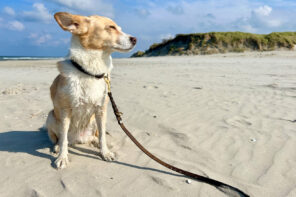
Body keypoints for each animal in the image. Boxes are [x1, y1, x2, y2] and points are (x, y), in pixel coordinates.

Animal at [45, 12, 137, 169]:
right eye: (111, 27)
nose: (135, 39)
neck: (89, 72)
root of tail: (78, 140)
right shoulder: (65, 111)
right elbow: (63, 139)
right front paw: (62, 157)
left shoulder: (101, 110)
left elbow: (102, 137)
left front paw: (105, 153)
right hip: (51, 117)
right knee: (60, 138)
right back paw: (57, 147)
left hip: (94, 120)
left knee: (95, 135)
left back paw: (94, 142)